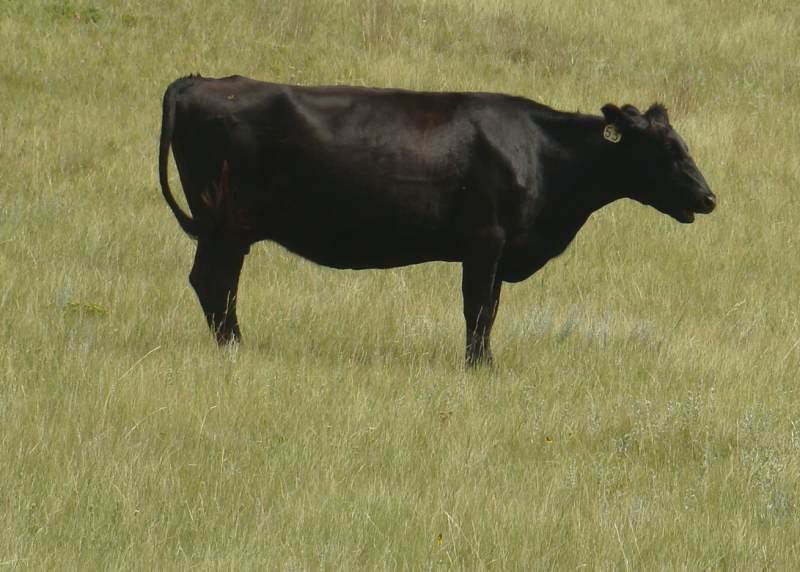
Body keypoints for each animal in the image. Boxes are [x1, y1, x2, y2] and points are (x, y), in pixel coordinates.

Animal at [158, 74, 716, 365]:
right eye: (666, 149)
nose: (709, 197)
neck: (541, 153)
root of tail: (201, 82)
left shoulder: (499, 252)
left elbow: (490, 309)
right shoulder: (485, 242)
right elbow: (479, 309)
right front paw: (479, 366)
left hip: (221, 228)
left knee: (209, 282)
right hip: (227, 224)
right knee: (217, 283)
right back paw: (235, 347)